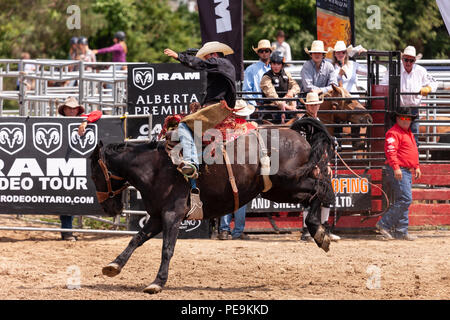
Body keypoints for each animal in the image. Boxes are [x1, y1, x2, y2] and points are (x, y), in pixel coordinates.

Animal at [89, 119, 334, 294]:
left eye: (94, 174)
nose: (108, 209)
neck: (155, 168)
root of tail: (293, 132)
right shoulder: (157, 217)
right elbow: (136, 239)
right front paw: (114, 265)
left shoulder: (172, 215)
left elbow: (167, 248)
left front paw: (157, 282)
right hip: (278, 189)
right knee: (313, 194)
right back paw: (319, 232)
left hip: (289, 181)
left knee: (320, 187)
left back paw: (319, 231)